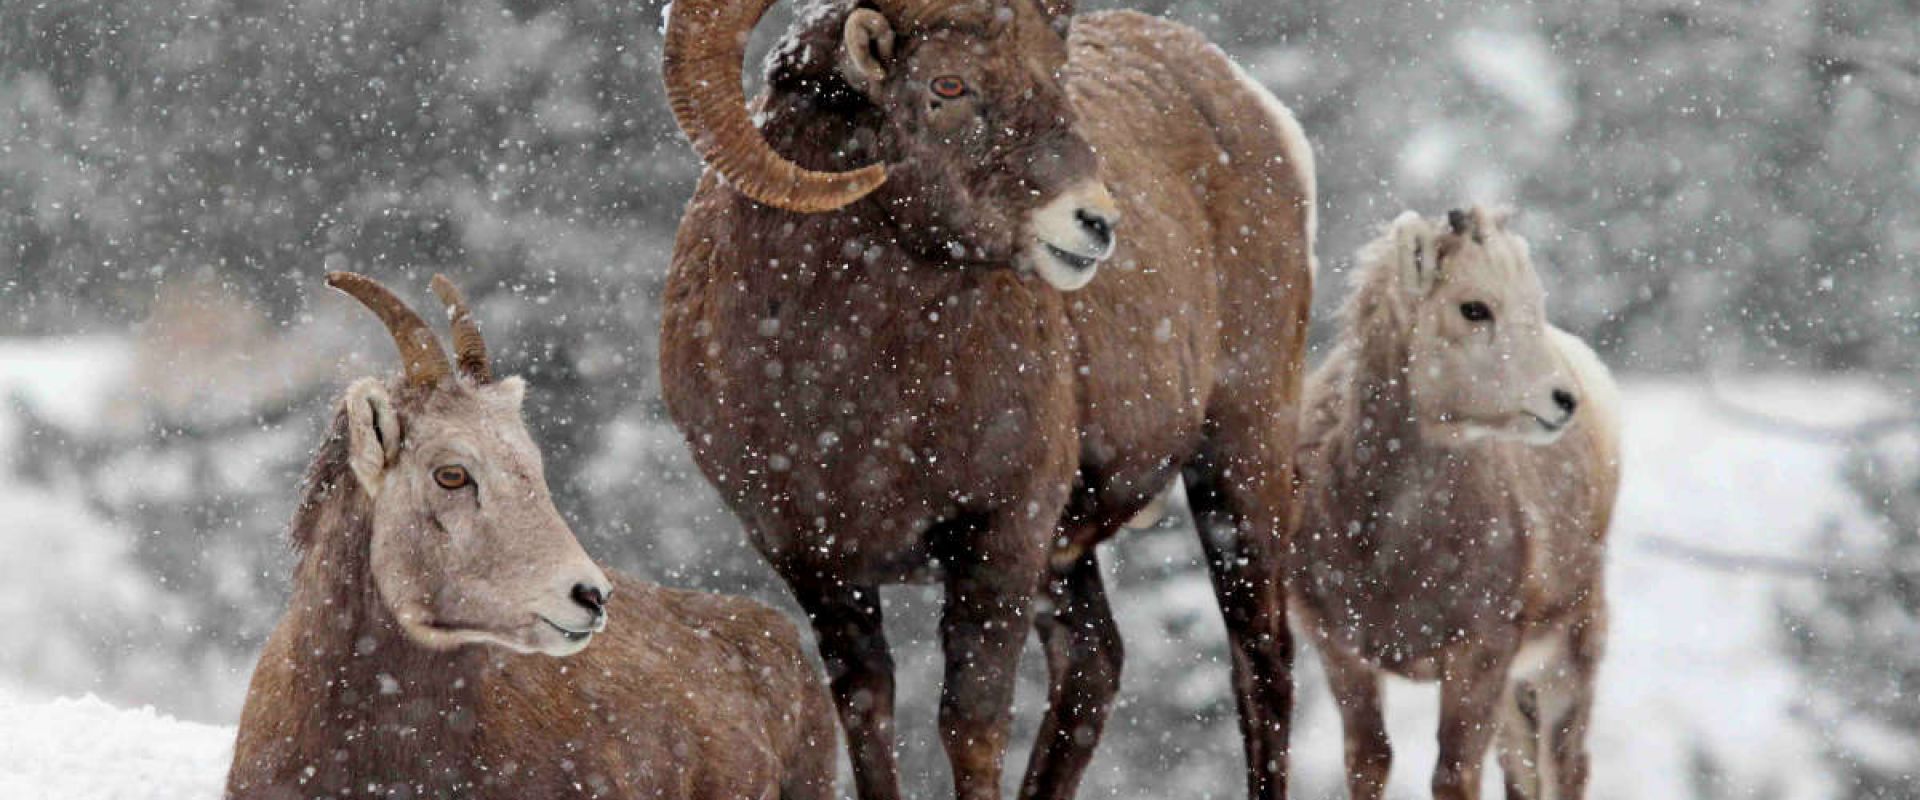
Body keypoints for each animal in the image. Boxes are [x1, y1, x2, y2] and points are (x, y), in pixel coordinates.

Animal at [656, 0, 1317, 797]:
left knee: (1262, 665)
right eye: (948, 85)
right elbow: (868, 720)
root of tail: (1259, 108)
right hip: (1069, 557)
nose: (1095, 222)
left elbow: (970, 726)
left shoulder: (1000, 540)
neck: (856, 407)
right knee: (1093, 665)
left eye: (1055, 74)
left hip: (1239, 462)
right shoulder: (818, 568)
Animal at [1289, 208, 1621, 800]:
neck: (1393, 559)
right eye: (1474, 308)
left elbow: (1455, 775)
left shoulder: (1479, 653)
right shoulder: (1341, 651)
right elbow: (1369, 761)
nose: (1564, 401)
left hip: (1570, 648)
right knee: (1523, 769)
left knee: (1566, 764)